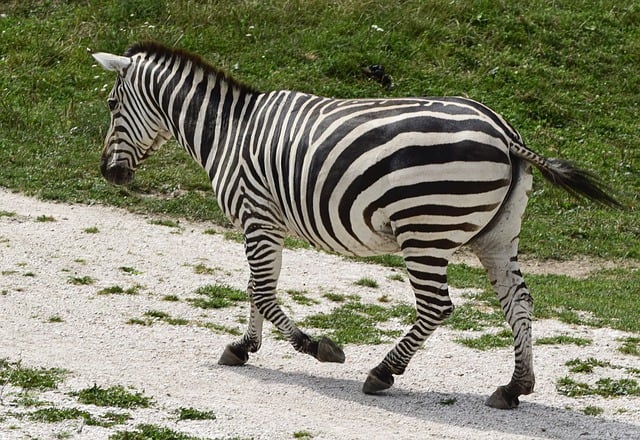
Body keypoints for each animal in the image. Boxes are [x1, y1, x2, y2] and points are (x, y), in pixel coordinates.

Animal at [91, 42, 620, 410]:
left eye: (113, 106)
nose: (108, 174)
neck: (229, 132)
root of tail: (506, 133)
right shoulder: (265, 223)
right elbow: (256, 288)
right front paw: (244, 347)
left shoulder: (256, 215)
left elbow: (261, 290)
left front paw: (316, 347)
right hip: (497, 235)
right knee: (519, 302)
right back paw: (514, 387)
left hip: (424, 229)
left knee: (437, 307)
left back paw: (381, 374)